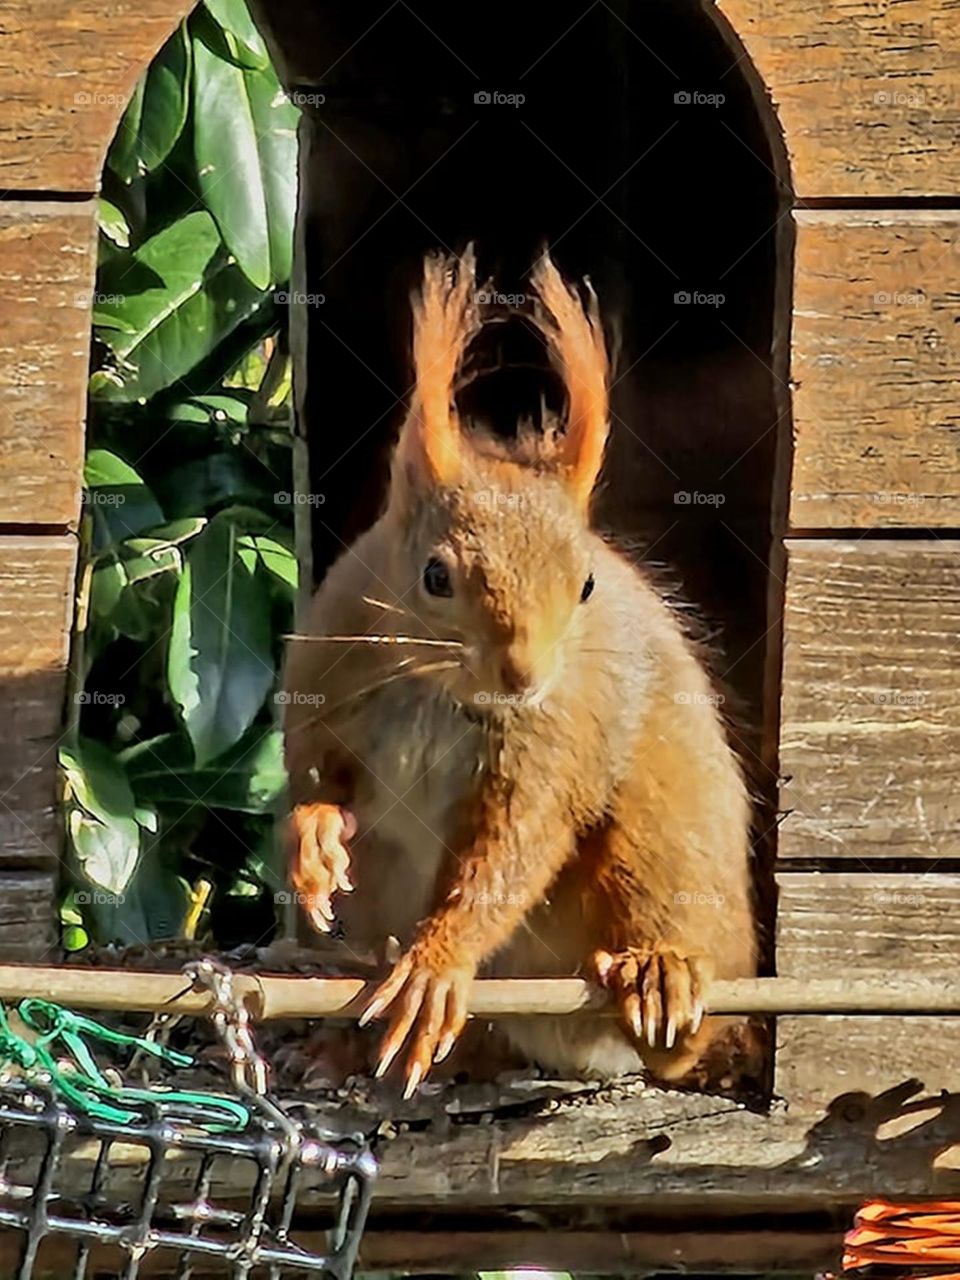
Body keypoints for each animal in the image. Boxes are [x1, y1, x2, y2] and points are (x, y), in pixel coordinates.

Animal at [281, 252, 762, 1100]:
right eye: (435, 576)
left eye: (586, 584)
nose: (525, 675)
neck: (441, 691)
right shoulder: (327, 666)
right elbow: (311, 764)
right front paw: (315, 837)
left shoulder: (555, 736)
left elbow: (514, 846)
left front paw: (437, 964)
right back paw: (358, 1049)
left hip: (660, 847)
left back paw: (663, 982)